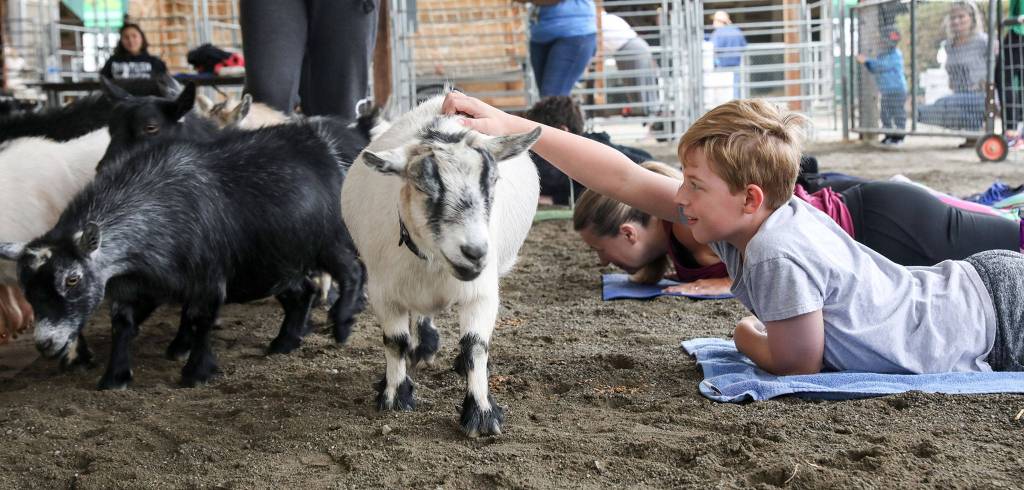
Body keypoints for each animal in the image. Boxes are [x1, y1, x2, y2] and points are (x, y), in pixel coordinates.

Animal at [0, 118, 368, 389]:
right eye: (27, 288)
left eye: (72, 279)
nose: (45, 343)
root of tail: (329, 146)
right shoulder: (135, 287)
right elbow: (123, 325)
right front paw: (114, 376)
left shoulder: (208, 280)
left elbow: (199, 320)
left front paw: (196, 371)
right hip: (275, 263)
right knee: (301, 292)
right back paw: (284, 341)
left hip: (331, 241)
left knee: (352, 273)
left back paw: (342, 322)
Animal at [340, 95, 540, 437]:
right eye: (423, 186)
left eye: (493, 182)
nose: (475, 252)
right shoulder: (383, 291)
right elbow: (395, 342)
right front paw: (395, 395)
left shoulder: (482, 292)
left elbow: (475, 346)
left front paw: (481, 414)